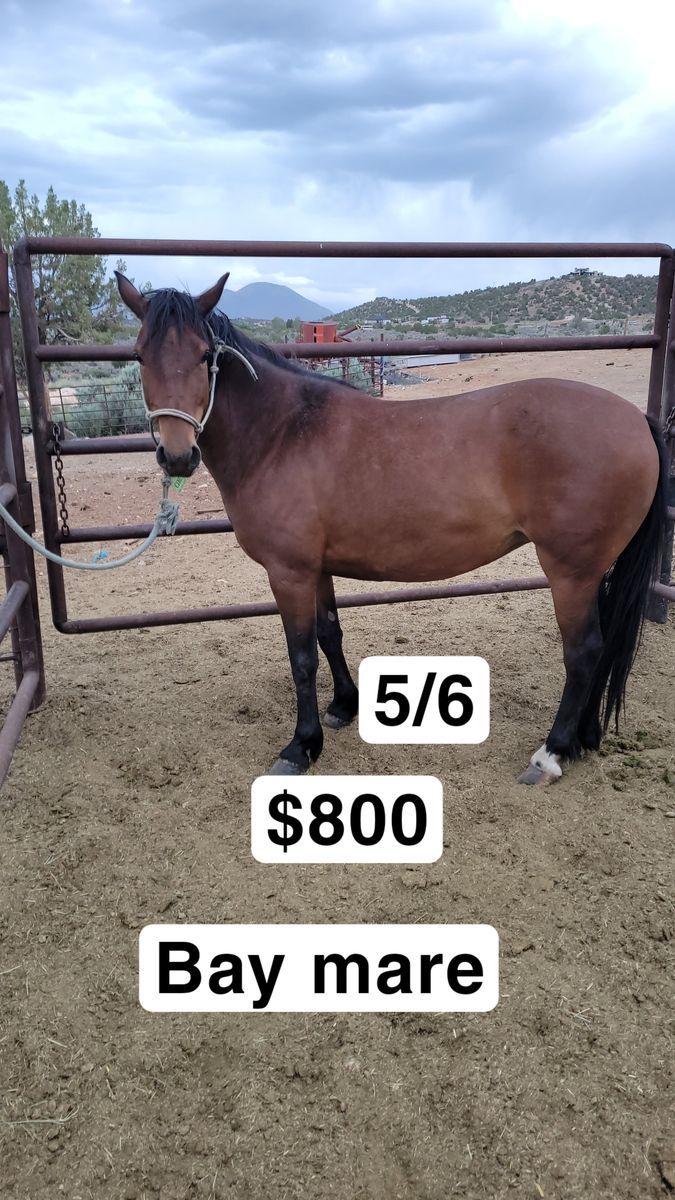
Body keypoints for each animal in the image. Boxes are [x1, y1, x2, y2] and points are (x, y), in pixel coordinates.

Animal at [115, 271, 668, 785]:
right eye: (139, 356)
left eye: (203, 354)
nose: (178, 455)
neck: (283, 433)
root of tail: (635, 421)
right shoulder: (315, 568)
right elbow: (329, 634)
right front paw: (344, 706)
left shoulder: (288, 572)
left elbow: (301, 657)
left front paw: (301, 746)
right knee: (604, 646)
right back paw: (583, 740)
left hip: (571, 572)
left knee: (585, 652)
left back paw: (551, 754)